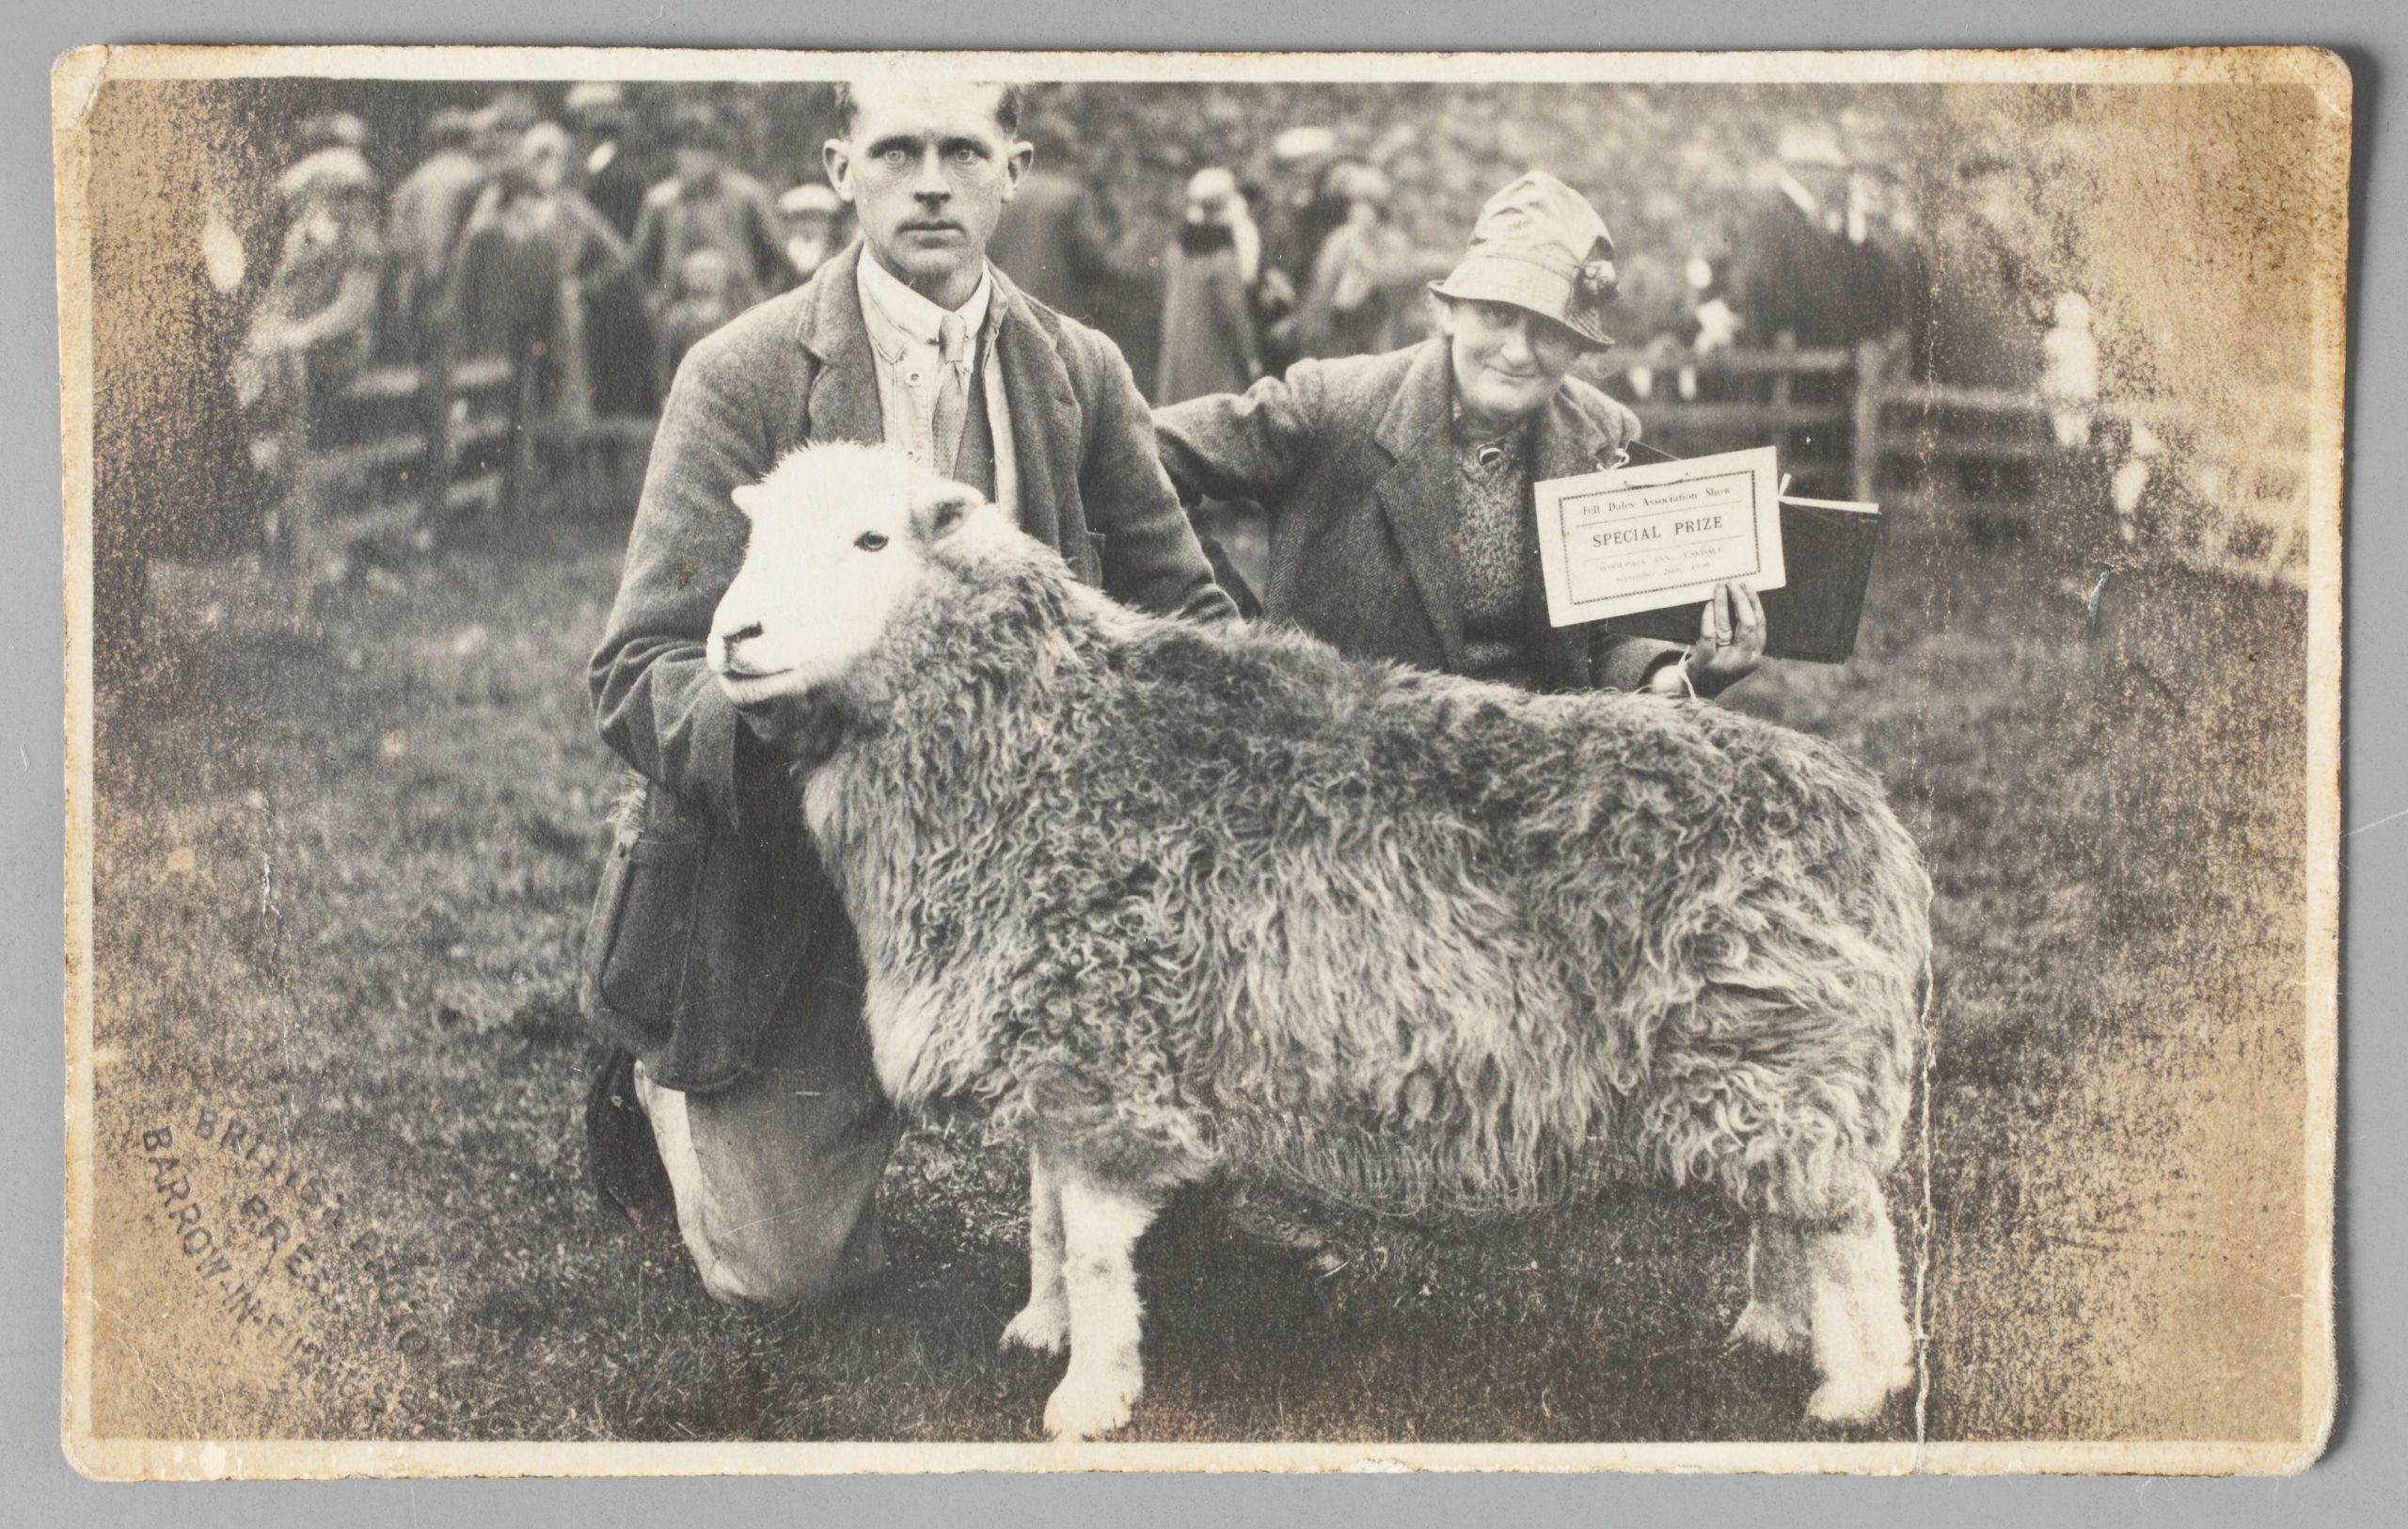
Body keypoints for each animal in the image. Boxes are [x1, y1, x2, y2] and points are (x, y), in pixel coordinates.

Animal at [703, 445, 1926, 1444]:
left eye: (870, 540)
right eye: (754, 535)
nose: (731, 638)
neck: (1039, 738)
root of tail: (1863, 813)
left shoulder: (1106, 1048)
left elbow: (1091, 1242)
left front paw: (1089, 1397)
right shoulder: (1058, 1038)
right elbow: (1045, 1215)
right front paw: (1041, 1327)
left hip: (1784, 1056)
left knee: (1850, 1227)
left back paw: (1856, 1386)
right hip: (1760, 1063)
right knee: (1787, 1210)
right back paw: (1772, 1327)